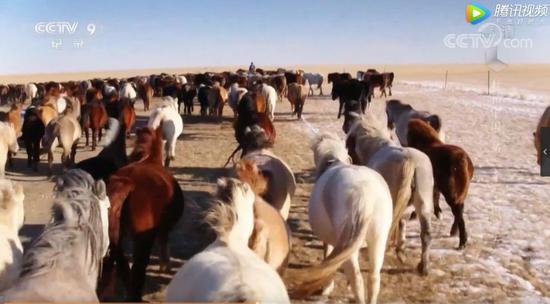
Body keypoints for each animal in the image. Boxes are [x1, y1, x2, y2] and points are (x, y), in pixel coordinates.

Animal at [100, 126, 184, 302]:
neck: (150, 159)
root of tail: (128, 183)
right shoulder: (162, 230)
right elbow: (164, 241)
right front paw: (165, 265)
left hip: (115, 242)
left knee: (124, 268)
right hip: (142, 241)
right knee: (138, 270)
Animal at [292, 134, 394, 304]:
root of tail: (364, 192)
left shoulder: (331, 241)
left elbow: (328, 258)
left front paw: (327, 288)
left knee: (356, 278)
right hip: (378, 239)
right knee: (374, 278)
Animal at [408, 119, 476, 249]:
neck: (428, 142)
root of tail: (462, 159)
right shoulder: (434, 185)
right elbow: (434, 198)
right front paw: (436, 212)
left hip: (451, 192)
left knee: (459, 214)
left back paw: (462, 241)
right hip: (459, 191)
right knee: (460, 211)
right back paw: (454, 231)